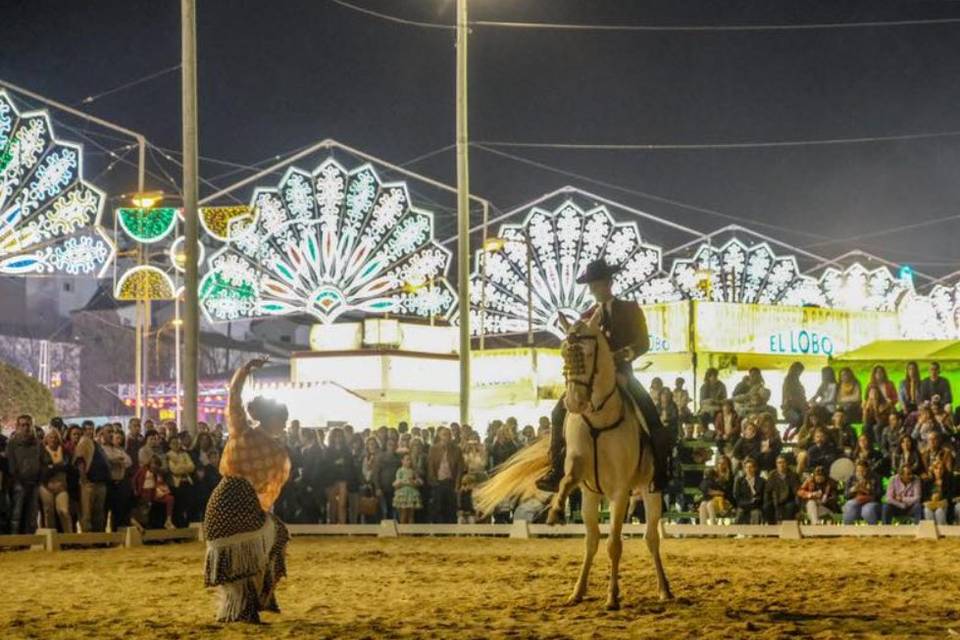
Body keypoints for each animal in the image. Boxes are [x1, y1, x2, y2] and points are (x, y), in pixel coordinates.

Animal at [474, 310, 672, 608]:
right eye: (564, 353)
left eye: (589, 353)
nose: (575, 403)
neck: (598, 417)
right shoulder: (580, 472)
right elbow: (569, 482)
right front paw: (556, 511)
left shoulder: (620, 491)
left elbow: (614, 544)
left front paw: (612, 597)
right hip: (592, 496)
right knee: (592, 540)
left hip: (650, 492)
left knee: (651, 539)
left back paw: (664, 589)